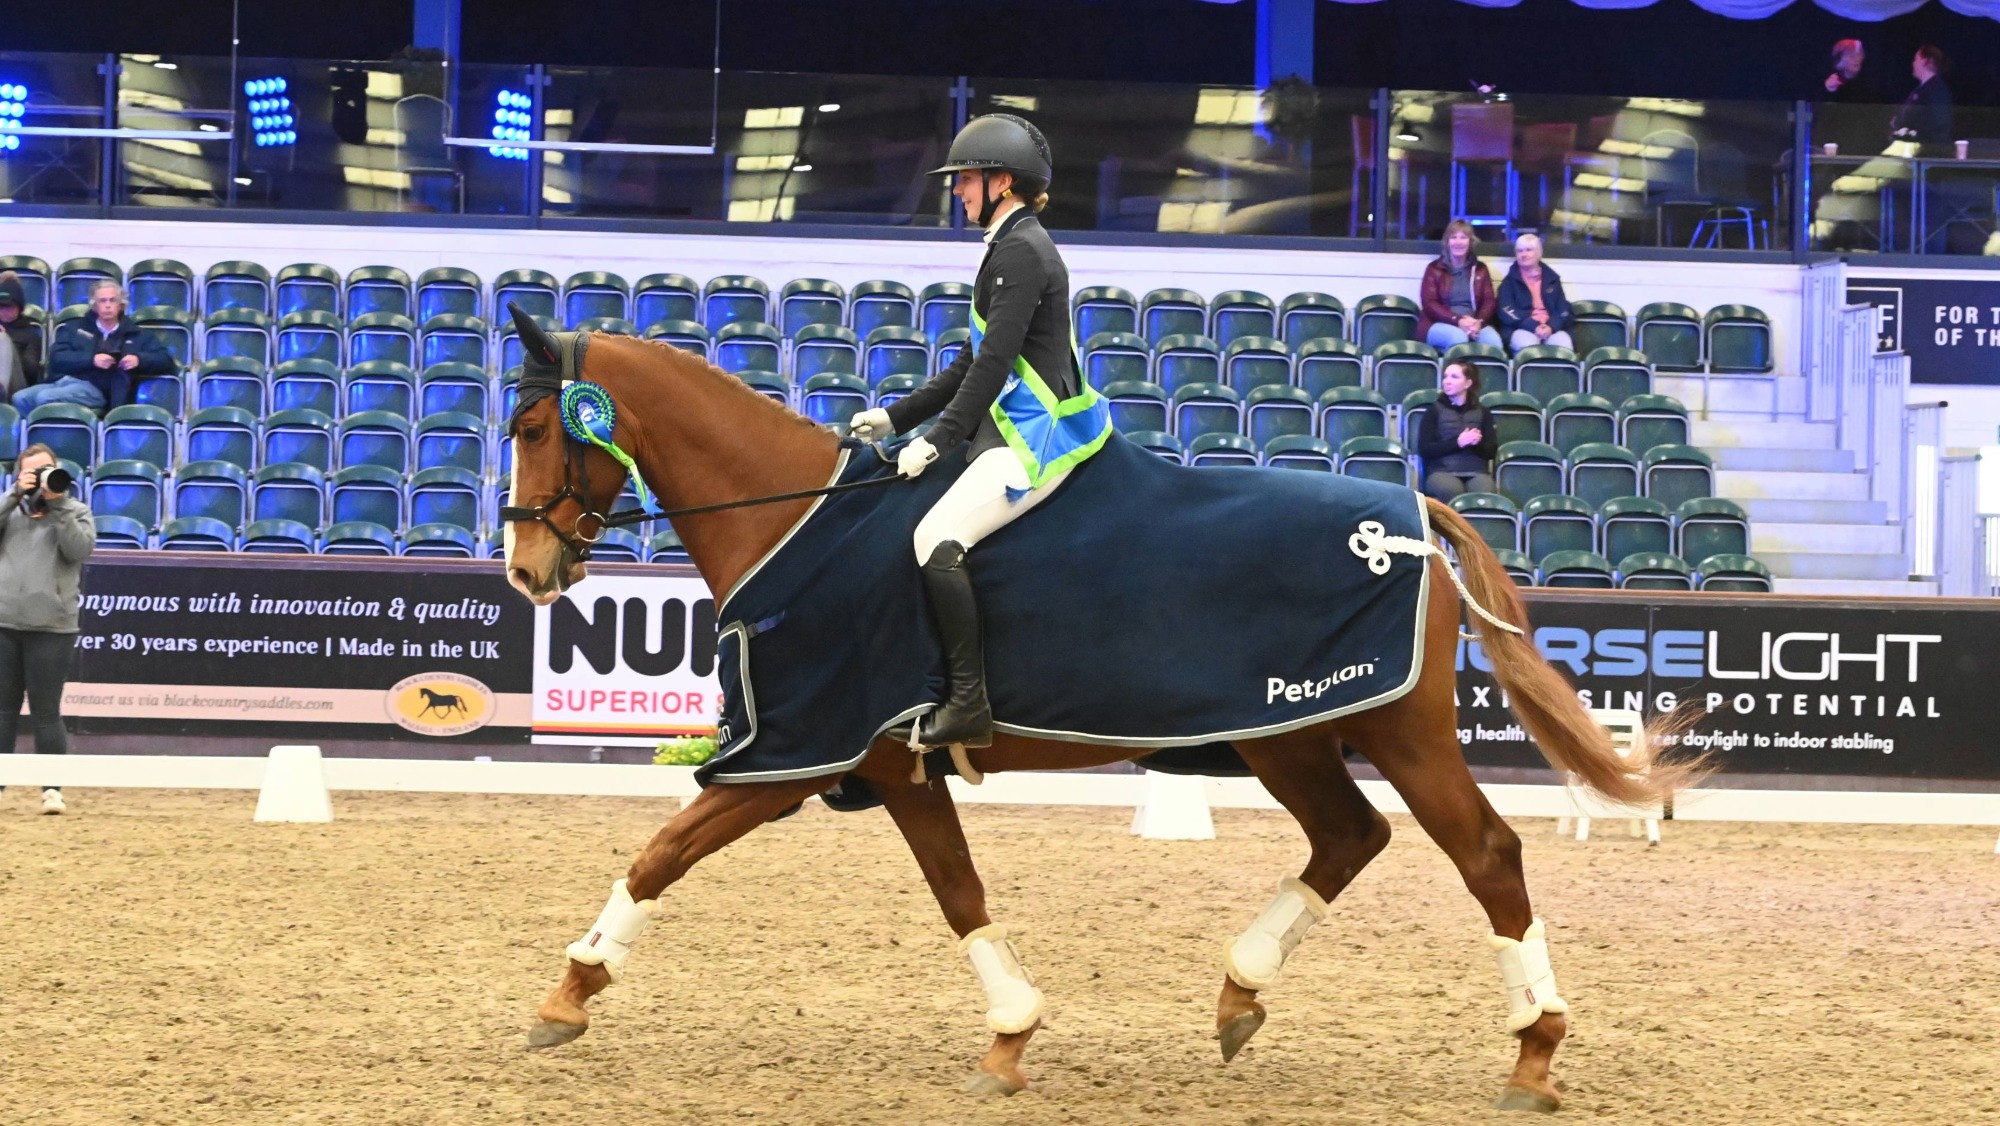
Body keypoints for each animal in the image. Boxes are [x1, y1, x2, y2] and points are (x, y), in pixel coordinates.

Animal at [498, 316, 1697, 1112]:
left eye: (534, 423)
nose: (524, 571)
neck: (801, 523)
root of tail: (1411, 511)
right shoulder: (886, 765)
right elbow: (957, 890)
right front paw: (1011, 1034)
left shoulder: (796, 751)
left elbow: (663, 853)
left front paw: (567, 992)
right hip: (1289, 734)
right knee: (1349, 836)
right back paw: (1238, 995)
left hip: (1395, 732)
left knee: (1485, 853)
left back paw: (1534, 1050)